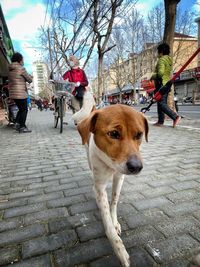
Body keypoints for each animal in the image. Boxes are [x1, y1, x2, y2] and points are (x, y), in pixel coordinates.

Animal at [76, 103, 148, 266]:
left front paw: (115, 222)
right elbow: (107, 221)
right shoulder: (100, 186)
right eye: (114, 133)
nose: (137, 167)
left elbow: (114, 201)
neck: (110, 164)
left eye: (139, 135)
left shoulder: (119, 177)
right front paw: (120, 250)